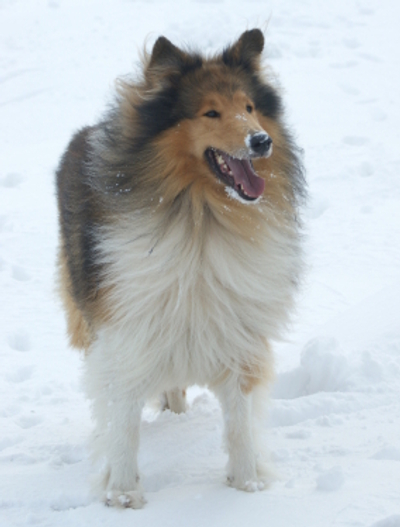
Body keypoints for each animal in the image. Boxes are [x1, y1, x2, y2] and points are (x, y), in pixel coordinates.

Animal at [56, 28, 304, 508]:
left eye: (250, 107)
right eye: (211, 111)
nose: (260, 141)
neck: (201, 217)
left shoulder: (235, 327)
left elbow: (239, 419)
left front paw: (247, 485)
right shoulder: (128, 329)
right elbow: (123, 417)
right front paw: (123, 494)